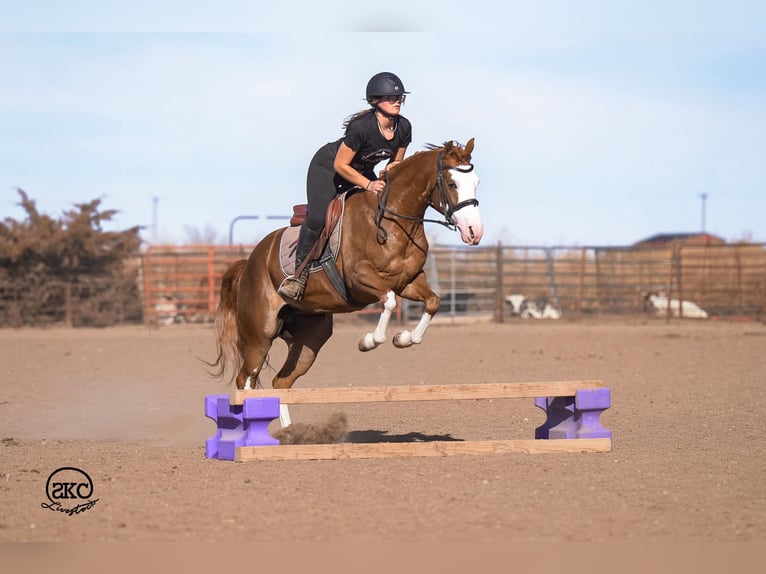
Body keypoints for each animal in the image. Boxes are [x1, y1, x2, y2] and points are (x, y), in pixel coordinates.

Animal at [209, 138, 483, 390]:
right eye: (452, 183)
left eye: (476, 183)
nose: (474, 232)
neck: (391, 220)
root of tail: (249, 263)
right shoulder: (359, 279)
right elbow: (389, 301)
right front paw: (368, 341)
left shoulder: (408, 281)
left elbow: (433, 302)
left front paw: (403, 338)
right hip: (260, 335)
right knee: (247, 379)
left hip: (310, 338)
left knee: (281, 382)